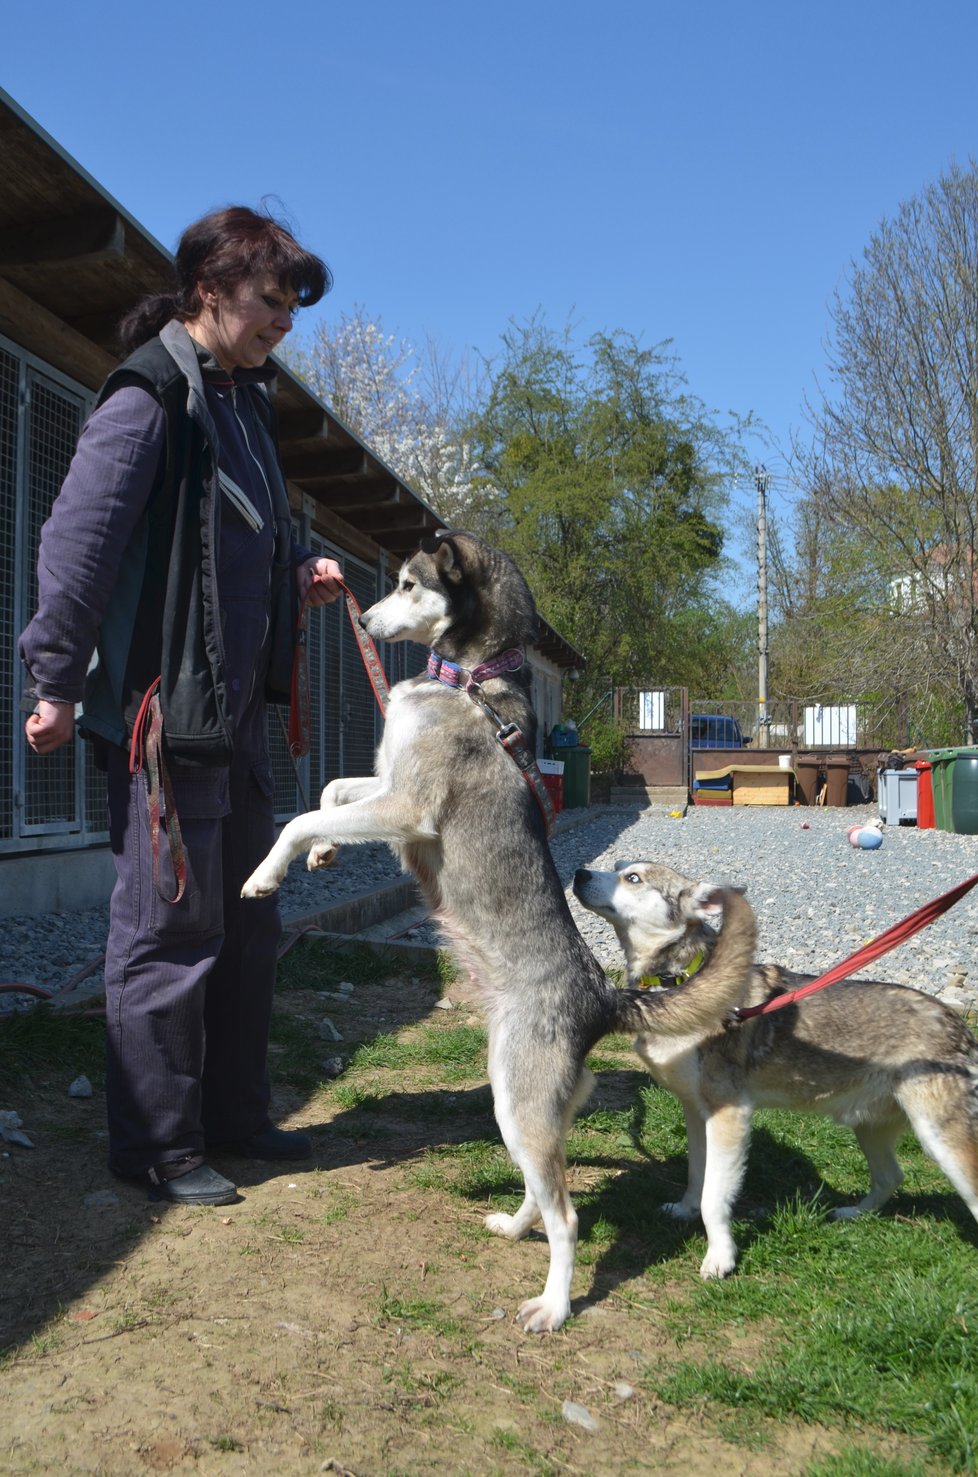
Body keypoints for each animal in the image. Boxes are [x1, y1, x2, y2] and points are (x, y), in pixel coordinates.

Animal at [240, 534, 753, 1341]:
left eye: (408, 583)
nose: (368, 618)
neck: (469, 681)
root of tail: (601, 995)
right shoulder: (385, 782)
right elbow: (327, 793)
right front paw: (321, 854)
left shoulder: (408, 806)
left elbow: (302, 814)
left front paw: (268, 873)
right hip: (527, 1110)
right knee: (545, 1194)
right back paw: (515, 1227)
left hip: (518, 1103)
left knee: (568, 1217)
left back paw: (555, 1305)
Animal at [570, 862, 978, 1276]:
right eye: (618, 867)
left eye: (633, 878)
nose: (579, 873)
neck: (677, 981)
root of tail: (956, 1022)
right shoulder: (696, 1113)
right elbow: (696, 1175)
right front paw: (685, 1211)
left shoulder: (729, 1115)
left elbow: (713, 1198)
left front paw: (720, 1258)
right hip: (868, 1126)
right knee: (890, 1176)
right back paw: (853, 1213)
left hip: (942, 1141)